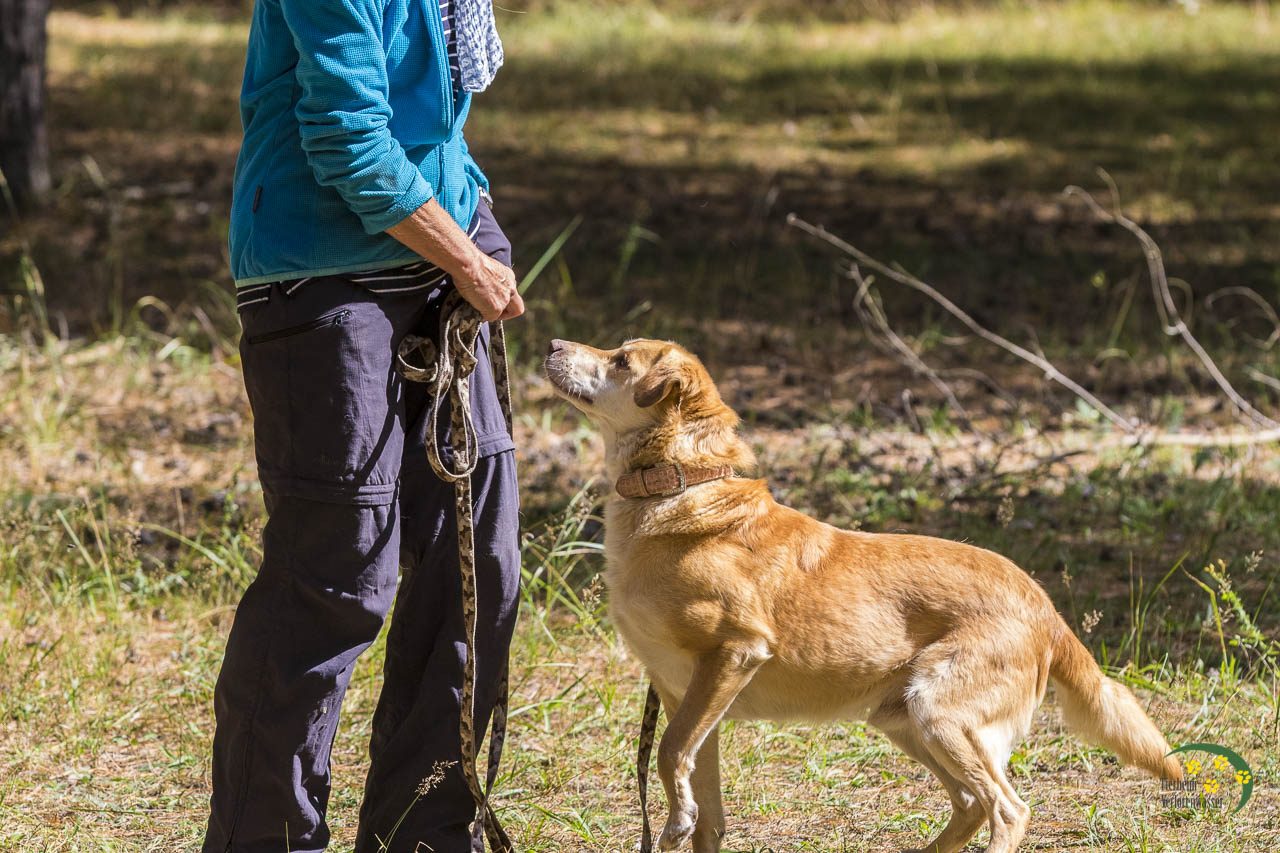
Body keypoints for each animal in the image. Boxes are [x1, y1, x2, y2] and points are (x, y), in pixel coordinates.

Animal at [543, 337, 1182, 853]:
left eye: (621, 360)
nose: (551, 342)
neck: (678, 489)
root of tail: (1045, 606)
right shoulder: (691, 699)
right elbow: (705, 815)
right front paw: (686, 819)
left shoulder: (734, 656)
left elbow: (669, 753)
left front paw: (672, 818)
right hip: (905, 722)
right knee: (970, 807)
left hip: (940, 713)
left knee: (1007, 809)